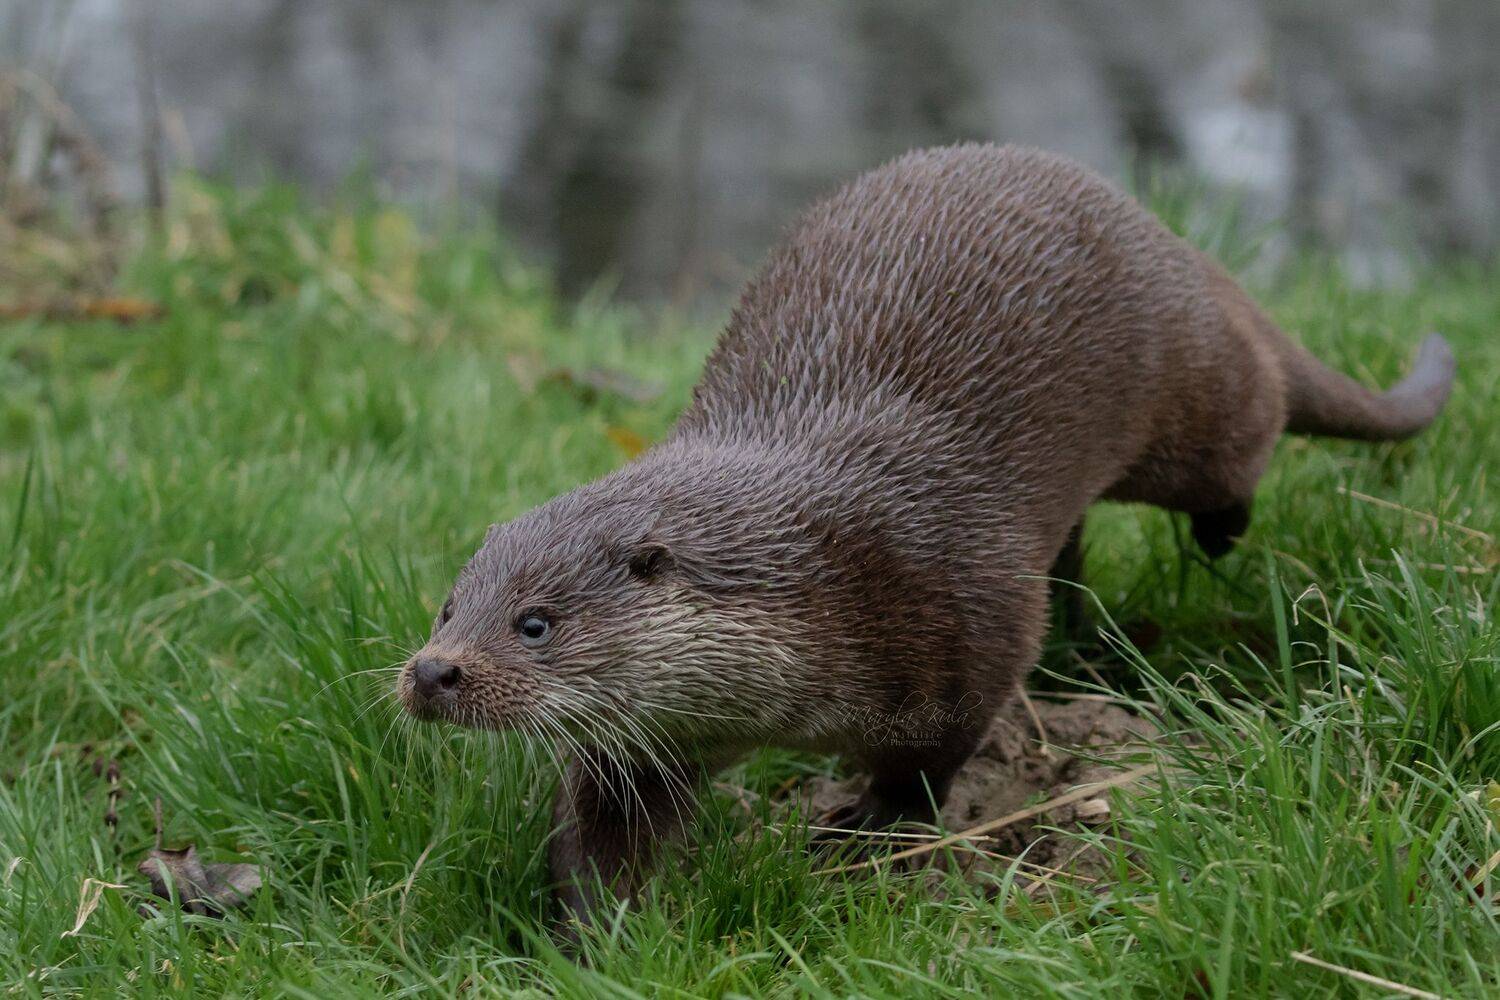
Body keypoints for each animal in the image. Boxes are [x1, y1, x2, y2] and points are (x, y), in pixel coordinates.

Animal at [396, 144, 1454, 926]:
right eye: (448, 607)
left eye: (535, 623)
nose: (433, 671)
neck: (824, 576)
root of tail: (1186, 258)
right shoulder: (656, 739)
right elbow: (602, 831)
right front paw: (589, 928)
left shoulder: (960, 605)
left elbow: (939, 750)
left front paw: (871, 820)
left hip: (1191, 399)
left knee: (1246, 433)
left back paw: (1222, 536)